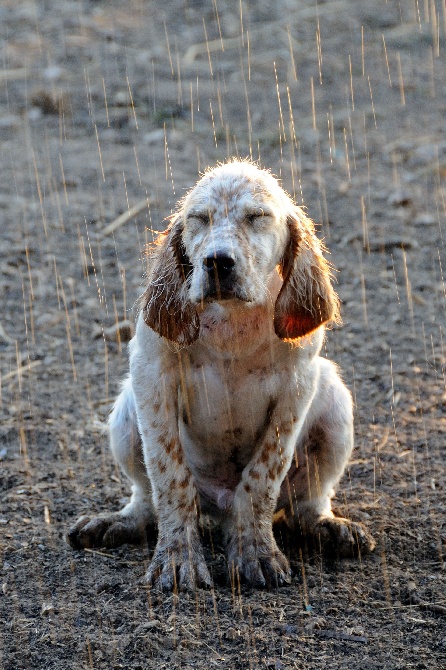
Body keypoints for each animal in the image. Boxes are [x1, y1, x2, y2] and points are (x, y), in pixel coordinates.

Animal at [69, 163, 376, 592]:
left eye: (257, 217)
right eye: (199, 219)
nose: (217, 262)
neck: (232, 323)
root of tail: (219, 507)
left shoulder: (297, 385)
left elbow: (262, 477)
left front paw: (256, 553)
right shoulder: (150, 372)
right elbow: (170, 476)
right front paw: (178, 559)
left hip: (334, 400)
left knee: (306, 503)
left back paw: (329, 526)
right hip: (126, 411)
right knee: (146, 498)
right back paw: (118, 521)